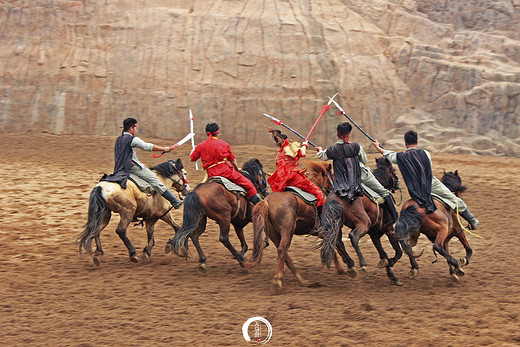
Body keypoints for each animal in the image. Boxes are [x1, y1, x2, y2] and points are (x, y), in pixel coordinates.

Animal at [244, 162, 346, 292]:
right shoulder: (326, 229)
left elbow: (331, 246)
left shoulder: (318, 231)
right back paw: (278, 281)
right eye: (335, 175)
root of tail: (267, 201)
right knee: (282, 251)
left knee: (286, 256)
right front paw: (345, 267)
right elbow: (333, 245)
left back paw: (302, 280)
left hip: (273, 234)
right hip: (287, 231)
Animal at [316, 158, 402, 286]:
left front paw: (392, 276)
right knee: (353, 236)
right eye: (394, 170)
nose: (397, 183)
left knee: (338, 242)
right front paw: (391, 263)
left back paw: (351, 266)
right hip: (363, 223)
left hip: (336, 225)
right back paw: (362, 265)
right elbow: (398, 251)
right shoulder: (388, 228)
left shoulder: (374, 234)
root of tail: (334, 198)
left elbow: (383, 254)